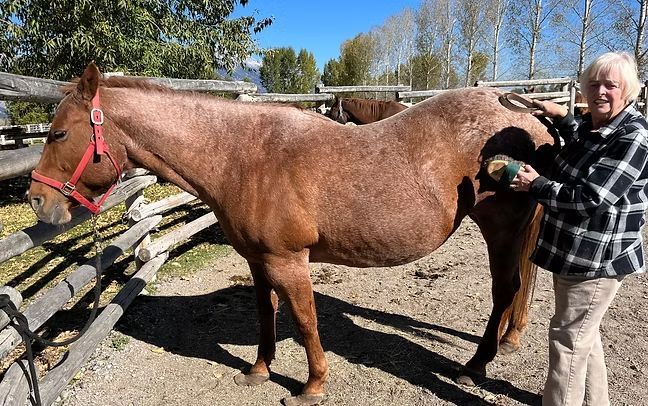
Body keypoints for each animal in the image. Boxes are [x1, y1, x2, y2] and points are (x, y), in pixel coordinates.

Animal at [28, 63, 556, 405]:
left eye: (58, 133)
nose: (37, 200)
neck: (241, 156)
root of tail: (528, 116)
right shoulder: (259, 260)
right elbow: (268, 314)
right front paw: (259, 371)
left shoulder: (289, 260)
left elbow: (305, 322)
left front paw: (312, 387)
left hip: (501, 228)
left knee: (506, 290)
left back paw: (476, 365)